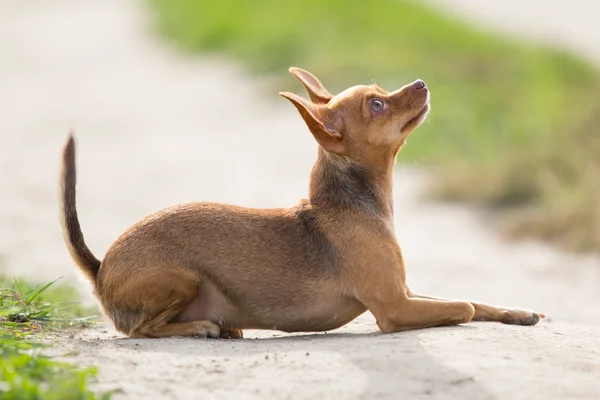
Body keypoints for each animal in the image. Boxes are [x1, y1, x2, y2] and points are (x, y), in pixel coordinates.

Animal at [59, 67, 544, 340]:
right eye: (377, 104)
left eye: (380, 91)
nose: (422, 83)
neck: (355, 205)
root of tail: (101, 268)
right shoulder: (395, 307)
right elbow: (463, 307)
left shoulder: (406, 291)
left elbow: (473, 300)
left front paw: (518, 312)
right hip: (180, 279)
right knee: (140, 329)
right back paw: (200, 327)